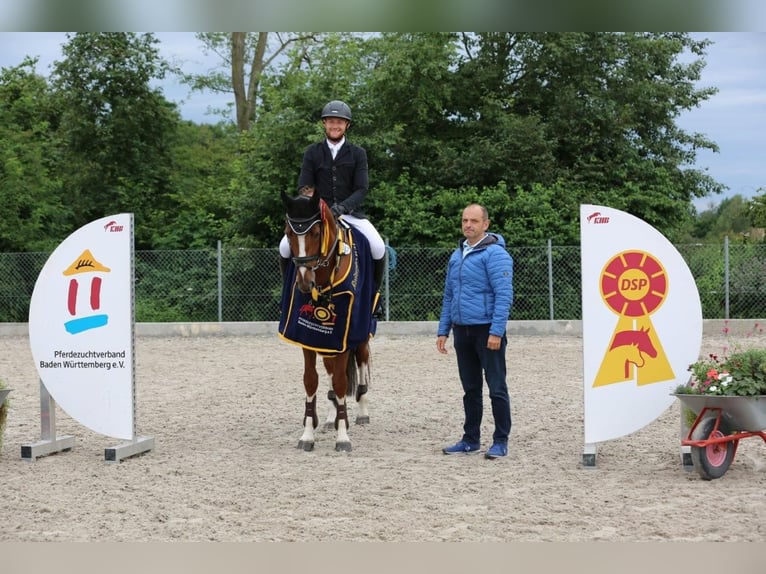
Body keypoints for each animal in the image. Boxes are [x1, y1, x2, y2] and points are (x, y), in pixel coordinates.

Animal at [282, 189, 378, 454]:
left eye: (316, 233)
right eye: (288, 233)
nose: (305, 283)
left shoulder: (344, 337)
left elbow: (341, 381)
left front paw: (343, 437)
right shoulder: (307, 339)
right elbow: (311, 381)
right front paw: (308, 433)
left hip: (361, 335)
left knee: (361, 366)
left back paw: (362, 412)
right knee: (331, 373)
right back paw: (329, 417)